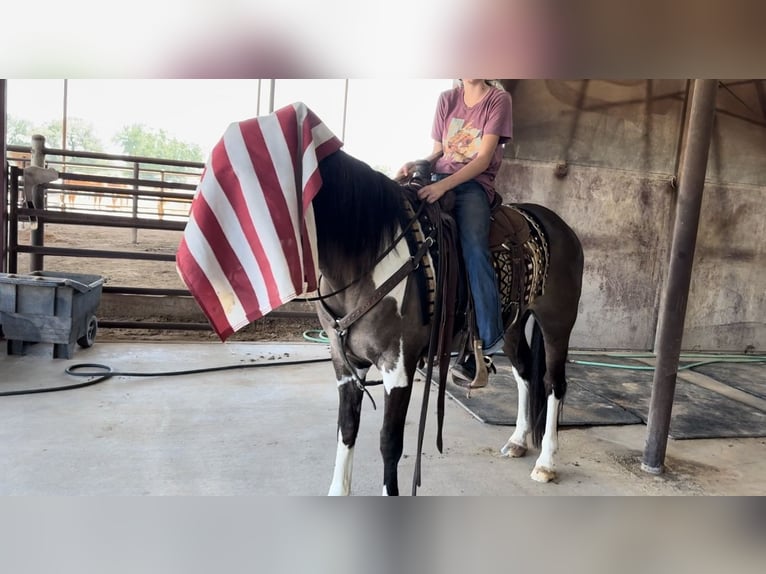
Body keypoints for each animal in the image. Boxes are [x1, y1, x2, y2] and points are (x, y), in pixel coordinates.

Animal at [316, 148, 584, 496]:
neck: (368, 260)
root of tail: (561, 226)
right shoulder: (346, 364)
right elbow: (347, 429)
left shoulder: (397, 366)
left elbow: (389, 442)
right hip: (511, 324)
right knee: (525, 372)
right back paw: (517, 441)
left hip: (557, 320)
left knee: (553, 383)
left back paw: (546, 463)